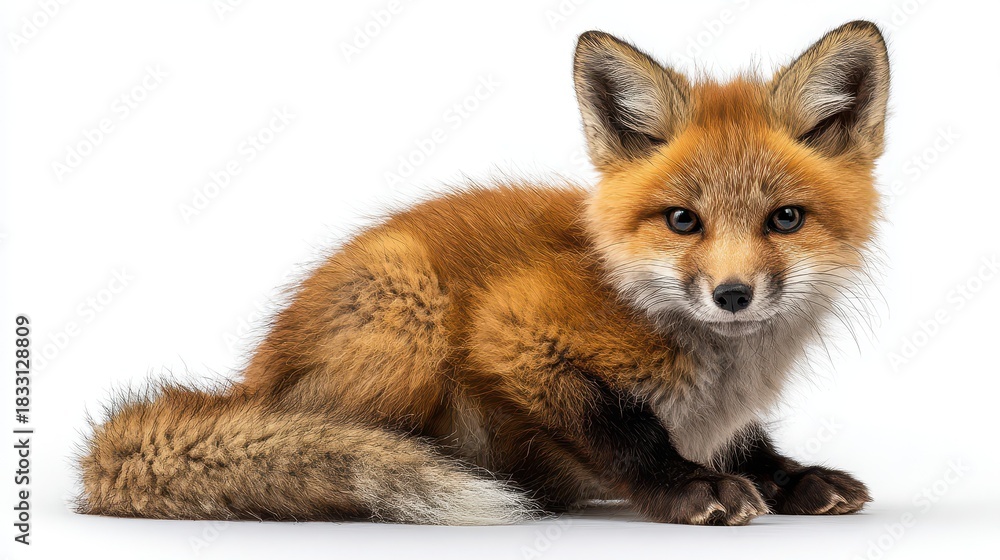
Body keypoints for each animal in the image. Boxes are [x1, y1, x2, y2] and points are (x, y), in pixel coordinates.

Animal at [78, 20, 889, 526]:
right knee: (326, 438)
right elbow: (623, 430)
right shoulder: (515, 334)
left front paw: (792, 477)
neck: (722, 372)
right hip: (410, 306)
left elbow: (748, 445)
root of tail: (249, 382)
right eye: (682, 220)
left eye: (785, 219)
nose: (732, 295)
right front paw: (687, 488)